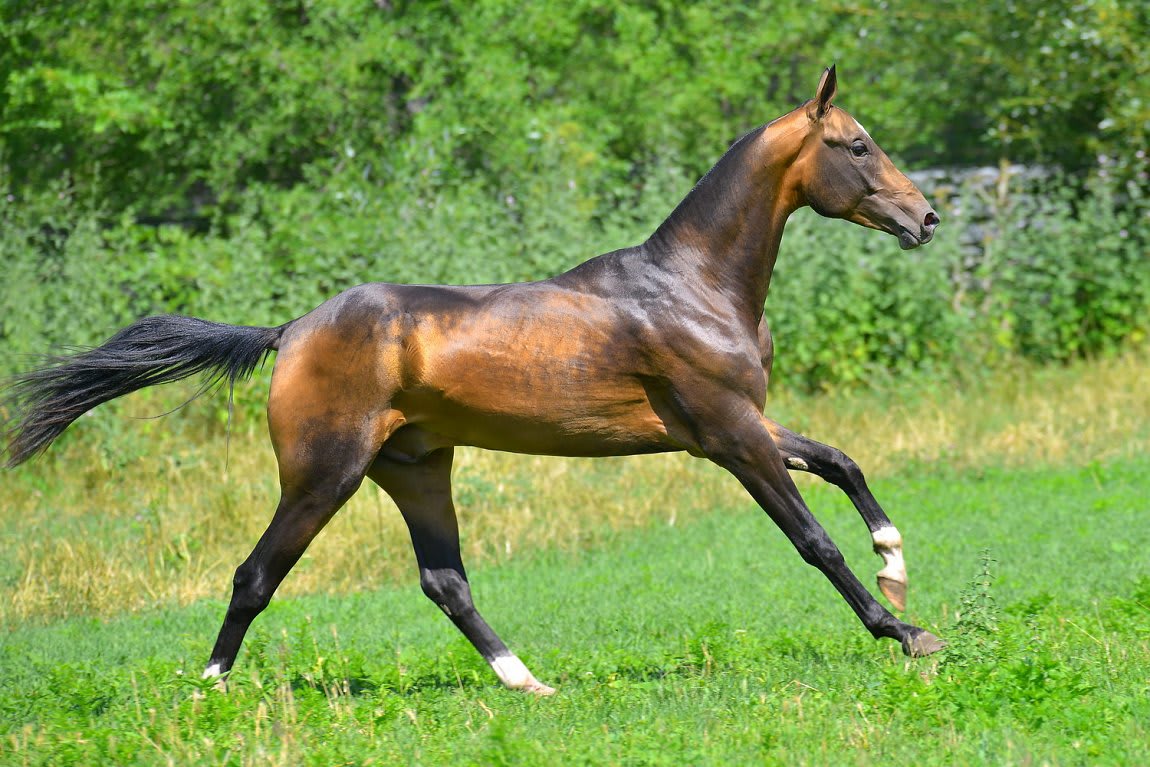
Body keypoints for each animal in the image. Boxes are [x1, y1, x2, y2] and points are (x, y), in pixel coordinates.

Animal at [2, 66, 943, 695]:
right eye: (855, 145)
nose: (925, 218)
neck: (693, 285)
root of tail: (291, 332)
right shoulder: (729, 436)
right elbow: (813, 540)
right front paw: (904, 629)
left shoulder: (739, 424)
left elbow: (844, 461)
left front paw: (897, 565)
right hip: (323, 475)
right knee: (254, 574)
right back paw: (211, 686)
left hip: (416, 468)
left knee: (444, 581)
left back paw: (527, 680)